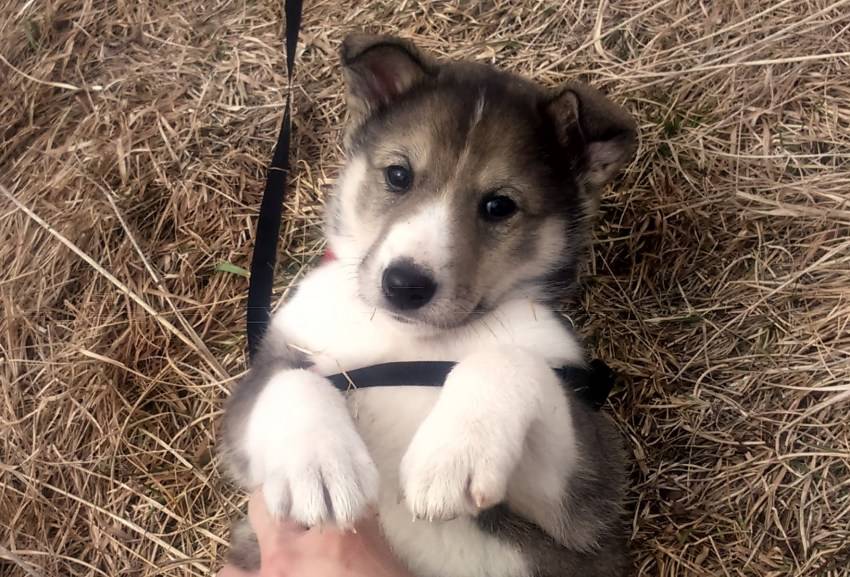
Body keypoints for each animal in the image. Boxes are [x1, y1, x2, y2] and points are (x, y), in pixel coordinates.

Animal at [220, 33, 637, 577]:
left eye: (499, 205)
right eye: (398, 174)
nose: (405, 285)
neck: (407, 340)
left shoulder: (583, 506)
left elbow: (510, 359)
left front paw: (452, 456)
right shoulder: (263, 386)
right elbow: (288, 380)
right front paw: (319, 466)